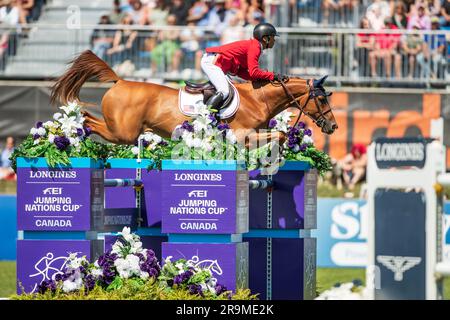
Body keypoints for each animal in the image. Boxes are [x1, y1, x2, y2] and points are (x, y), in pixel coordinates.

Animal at [50, 50, 338, 146]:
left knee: (89, 118)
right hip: (123, 132)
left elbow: (277, 134)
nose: (334, 126)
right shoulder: (242, 134)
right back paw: (72, 132)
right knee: (89, 121)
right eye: (322, 100)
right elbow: (277, 135)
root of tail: (120, 80)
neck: (258, 99)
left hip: (123, 131)